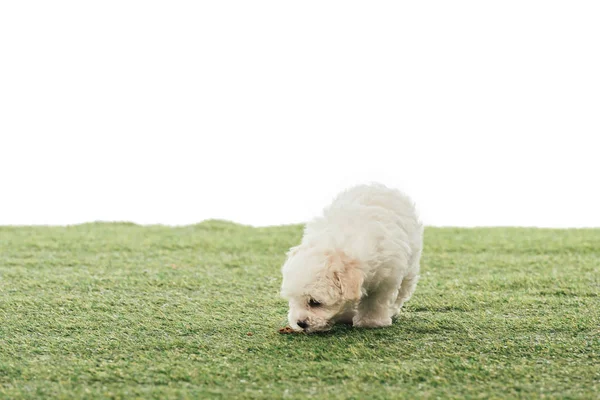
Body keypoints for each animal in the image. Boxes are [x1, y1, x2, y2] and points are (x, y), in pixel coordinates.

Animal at [280, 183, 422, 332]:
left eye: (315, 302)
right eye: (292, 299)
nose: (300, 323)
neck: (337, 247)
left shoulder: (386, 276)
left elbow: (375, 300)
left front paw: (371, 321)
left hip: (411, 264)